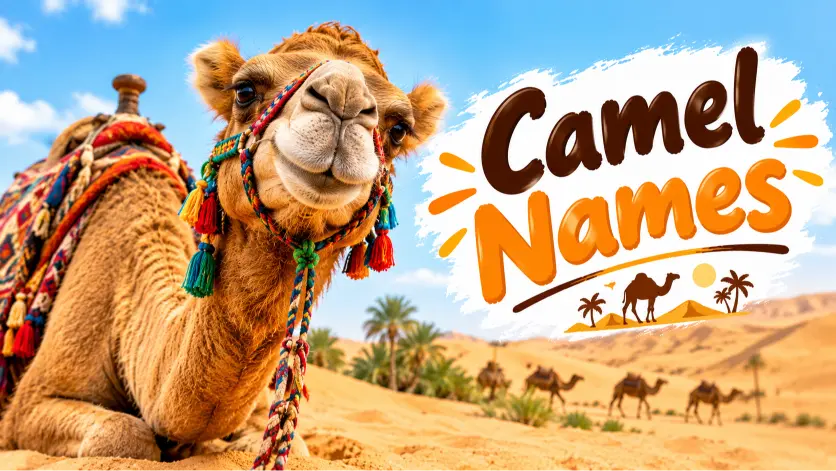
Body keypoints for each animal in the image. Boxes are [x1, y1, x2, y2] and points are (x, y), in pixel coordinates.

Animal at [0, 22, 445, 464]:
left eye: (398, 129)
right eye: (244, 90)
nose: (344, 98)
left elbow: (289, 445)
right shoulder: (29, 404)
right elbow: (123, 434)